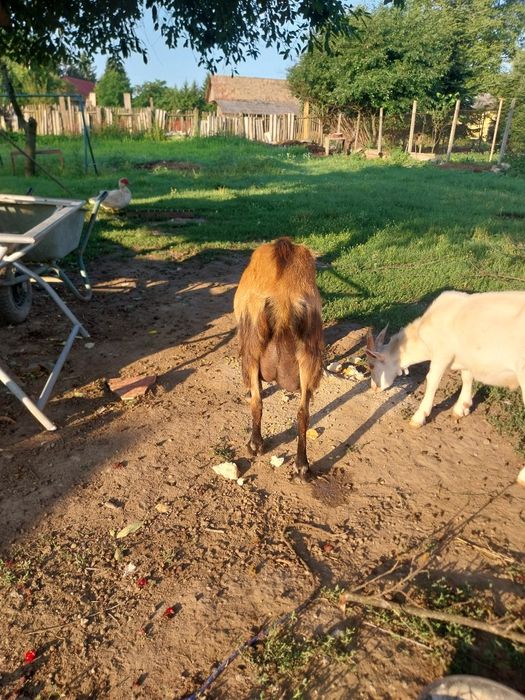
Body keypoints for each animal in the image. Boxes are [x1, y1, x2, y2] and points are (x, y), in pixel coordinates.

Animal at [234, 238, 324, 478]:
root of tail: (284, 299)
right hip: (309, 356)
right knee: (303, 413)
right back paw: (302, 465)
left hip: (252, 347)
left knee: (257, 401)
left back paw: (255, 444)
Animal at [365, 290, 525, 427]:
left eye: (372, 365)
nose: (374, 388)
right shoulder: (464, 356)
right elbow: (467, 377)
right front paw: (461, 408)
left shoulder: (442, 354)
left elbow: (432, 380)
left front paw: (419, 417)